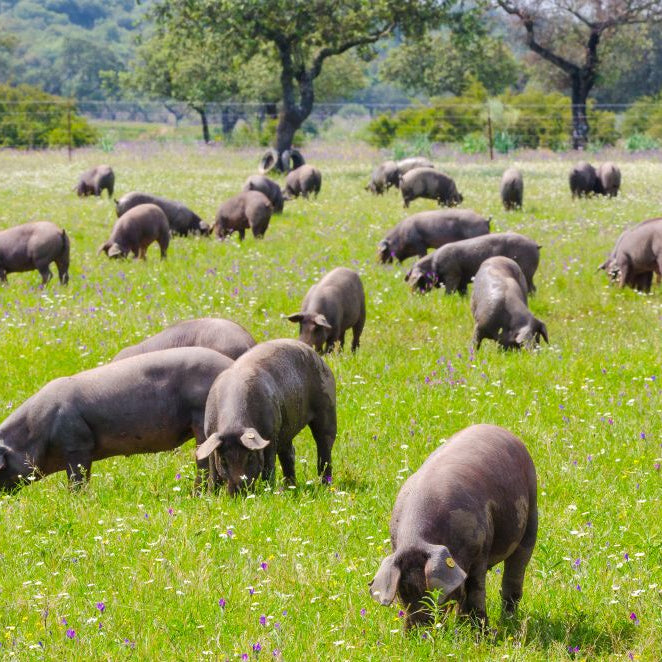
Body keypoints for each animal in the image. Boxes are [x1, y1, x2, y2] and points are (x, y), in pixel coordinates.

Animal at [0, 347, 234, 490]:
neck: (36, 431)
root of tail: (230, 365)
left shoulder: (77, 444)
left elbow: (78, 480)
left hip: (200, 418)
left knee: (204, 460)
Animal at [195, 339, 336, 495]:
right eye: (223, 460)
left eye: (250, 457)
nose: (238, 491)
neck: (235, 424)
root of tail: (316, 355)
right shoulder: (210, 435)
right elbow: (213, 471)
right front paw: (210, 495)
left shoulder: (271, 434)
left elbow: (268, 465)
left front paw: (268, 491)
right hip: (286, 428)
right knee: (289, 453)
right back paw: (290, 487)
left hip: (327, 405)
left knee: (325, 447)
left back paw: (325, 486)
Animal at [369, 424, 537, 627]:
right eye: (403, 592)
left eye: (432, 593)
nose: (419, 631)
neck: (417, 539)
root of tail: (499, 428)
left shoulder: (480, 549)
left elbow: (476, 590)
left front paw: (481, 632)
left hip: (531, 509)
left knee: (514, 573)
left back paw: (508, 620)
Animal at [405, 232, 540, 295]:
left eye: (418, 281)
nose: (414, 296)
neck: (434, 265)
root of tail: (535, 244)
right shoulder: (462, 281)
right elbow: (463, 293)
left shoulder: (453, 274)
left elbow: (449, 291)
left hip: (526, 271)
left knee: (531, 288)